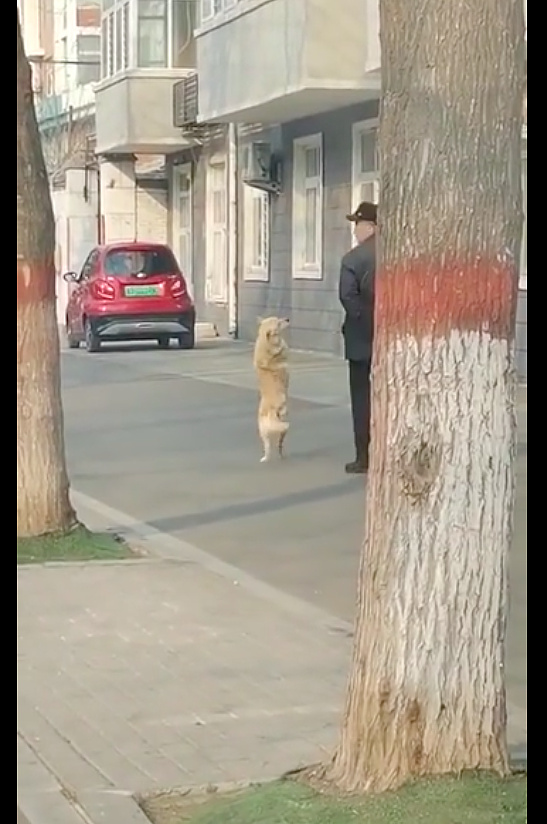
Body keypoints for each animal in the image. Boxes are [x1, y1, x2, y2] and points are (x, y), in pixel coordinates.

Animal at [255, 318, 294, 464]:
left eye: (279, 319)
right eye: (278, 323)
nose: (287, 319)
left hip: (263, 431)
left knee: (271, 446)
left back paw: (267, 457)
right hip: (281, 424)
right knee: (280, 440)